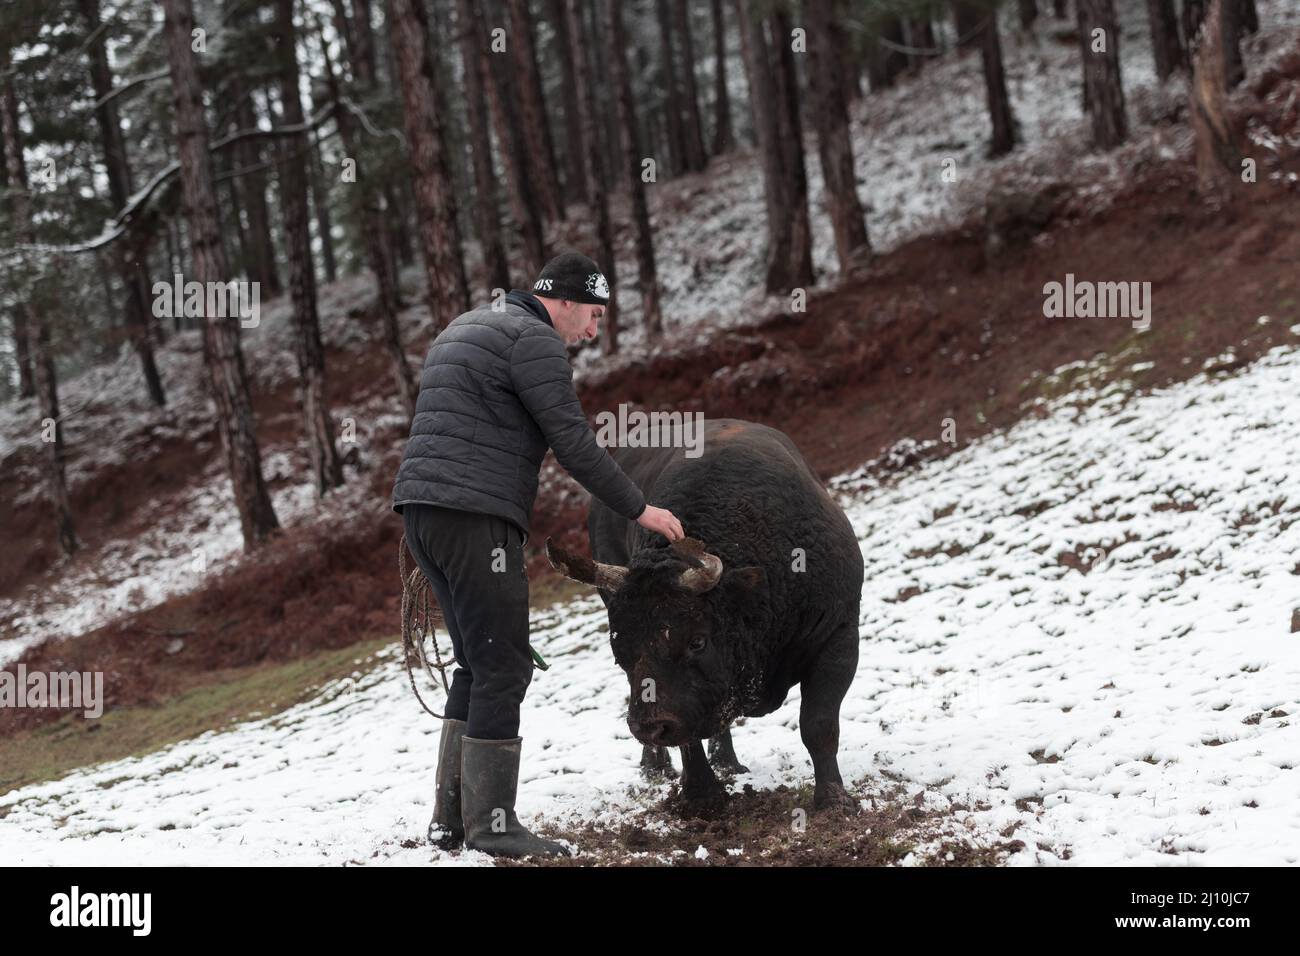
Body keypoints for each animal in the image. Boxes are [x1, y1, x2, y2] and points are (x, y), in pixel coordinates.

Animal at [546, 418, 864, 810]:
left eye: (697, 641)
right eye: (620, 653)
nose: (648, 725)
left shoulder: (839, 634)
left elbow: (818, 724)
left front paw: (834, 798)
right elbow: (688, 737)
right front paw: (702, 796)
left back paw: (726, 761)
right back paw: (656, 766)